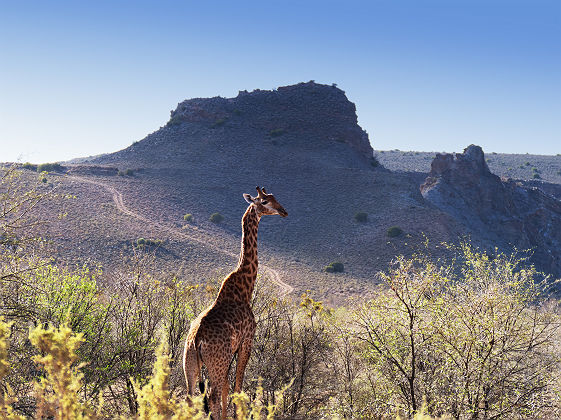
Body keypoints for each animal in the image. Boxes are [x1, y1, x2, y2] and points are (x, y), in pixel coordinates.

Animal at [184, 186, 286, 420]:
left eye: (275, 198)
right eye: (265, 202)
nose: (284, 212)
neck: (245, 288)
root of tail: (196, 340)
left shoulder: (232, 350)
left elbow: (227, 388)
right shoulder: (247, 341)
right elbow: (238, 388)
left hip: (190, 363)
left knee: (190, 397)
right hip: (216, 362)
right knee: (211, 396)